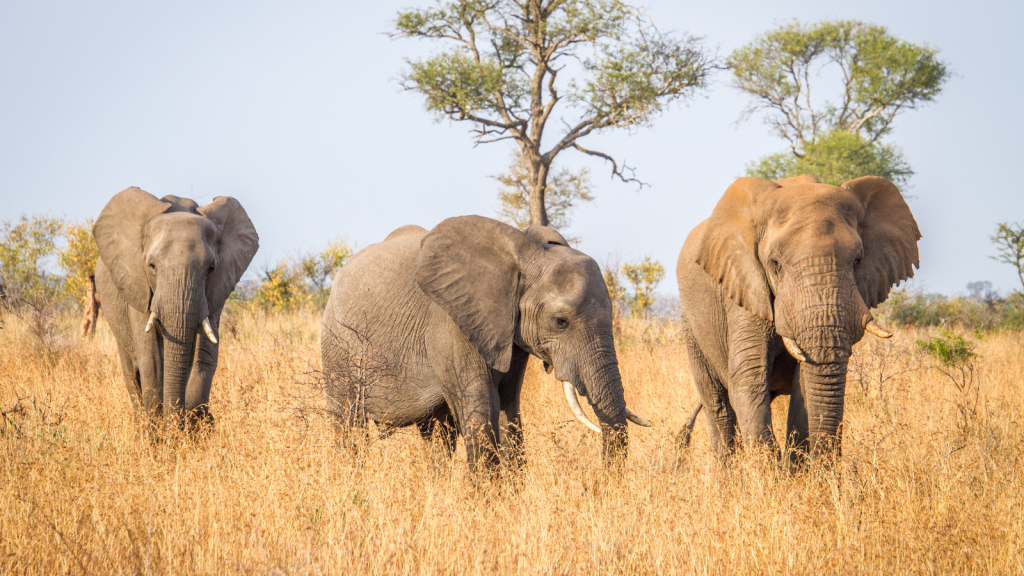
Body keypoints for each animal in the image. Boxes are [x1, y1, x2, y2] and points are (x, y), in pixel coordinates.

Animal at [94, 186, 258, 428]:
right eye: (151, 266)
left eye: (211, 268)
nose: (175, 422)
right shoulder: (138, 285)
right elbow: (151, 359)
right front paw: (160, 431)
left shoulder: (214, 292)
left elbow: (204, 356)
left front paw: (195, 424)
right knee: (131, 372)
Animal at [319, 215, 647, 471]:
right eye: (560, 322)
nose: (602, 483)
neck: (526, 255)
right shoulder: (452, 324)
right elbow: (480, 411)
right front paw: (486, 501)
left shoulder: (511, 334)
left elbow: (508, 410)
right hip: (337, 345)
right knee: (348, 423)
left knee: (437, 435)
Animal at [679, 174, 921, 461]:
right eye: (775, 264)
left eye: (858, 261)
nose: (827, 463)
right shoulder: (745, 289)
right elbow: (748, 379)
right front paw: (769, 470)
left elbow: (803, 387)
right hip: (691, 323)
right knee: (718, 404)